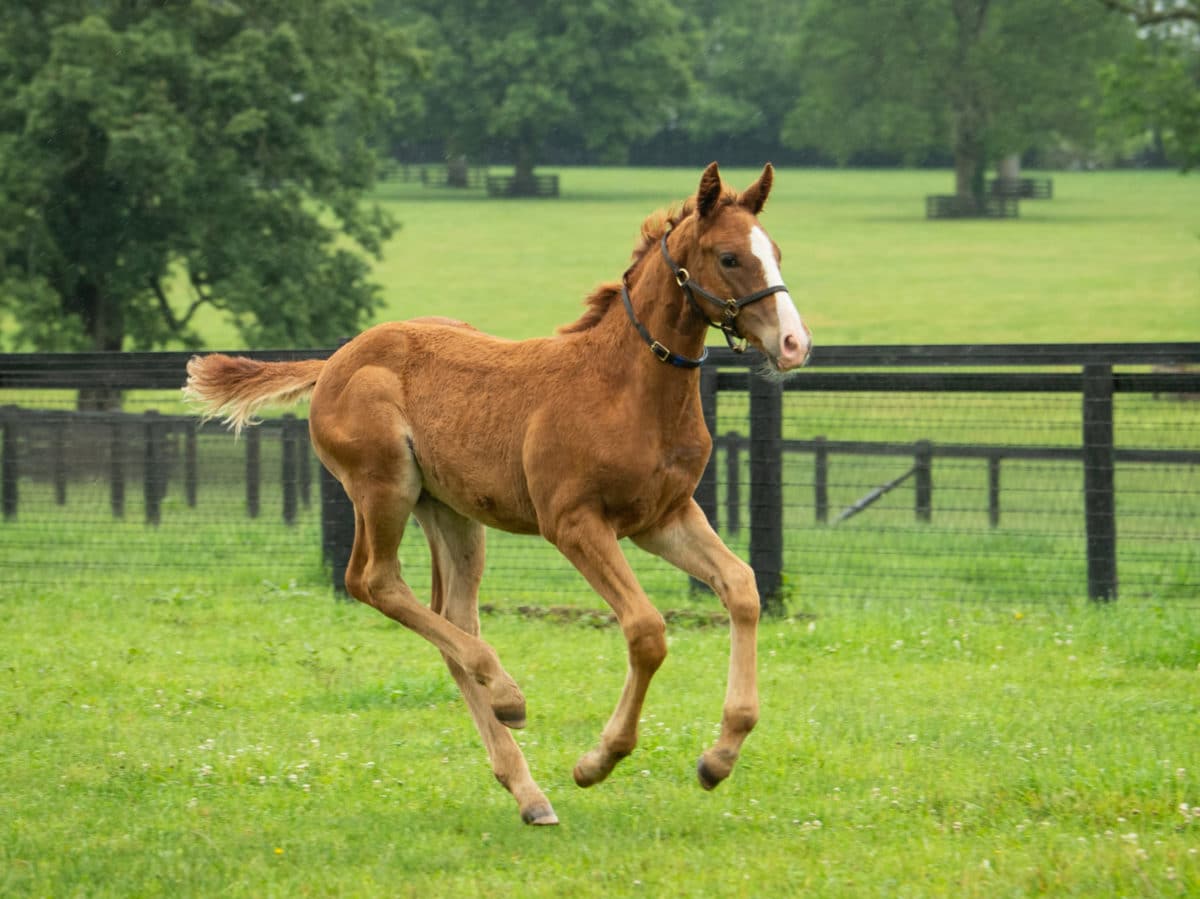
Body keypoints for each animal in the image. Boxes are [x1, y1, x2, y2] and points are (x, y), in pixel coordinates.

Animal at [184, 164, 806, 825]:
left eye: (776, 252)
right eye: (730, 257)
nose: (795, 344)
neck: (625, 388)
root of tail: (333, 362)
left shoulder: (662, 517)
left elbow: (741, 586)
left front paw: (719, 758)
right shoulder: (575, 523)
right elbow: (645, 629)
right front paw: (598, 760)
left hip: (451, 512)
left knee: (450, 615)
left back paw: (528, 791)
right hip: (384, 486)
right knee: (373, 582)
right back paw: (509, 696)